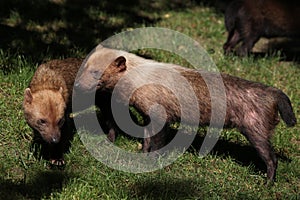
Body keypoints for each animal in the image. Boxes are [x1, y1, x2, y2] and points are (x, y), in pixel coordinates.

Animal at [74, 45, 296, 181]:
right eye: (84, 66)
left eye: (96, 72)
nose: (76, 85)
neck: (139, 78)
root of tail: (274, 94)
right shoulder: (147, 117)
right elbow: (146, 140)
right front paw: (142, 157)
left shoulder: (161, 118)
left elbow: (157, 144)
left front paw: (152, 164)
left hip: (256, 131)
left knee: (272, 160)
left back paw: (267, 183)